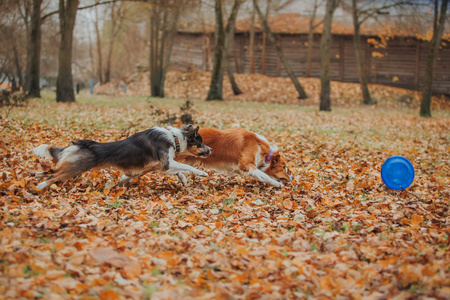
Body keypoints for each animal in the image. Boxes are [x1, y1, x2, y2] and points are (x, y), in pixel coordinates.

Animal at [30, 125, 213, 190]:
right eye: (201, 142)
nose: (211, 150)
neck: (174, 138)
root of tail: (81, 144)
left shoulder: (153, 167)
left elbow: (180, 171)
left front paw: (184, 181)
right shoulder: (165, 163)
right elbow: (187, 167)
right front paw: (202, 173)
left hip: (72, 167)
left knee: (50, 172)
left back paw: (34, 176)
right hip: (77, 167)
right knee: (53, 175)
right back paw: (39, 187)